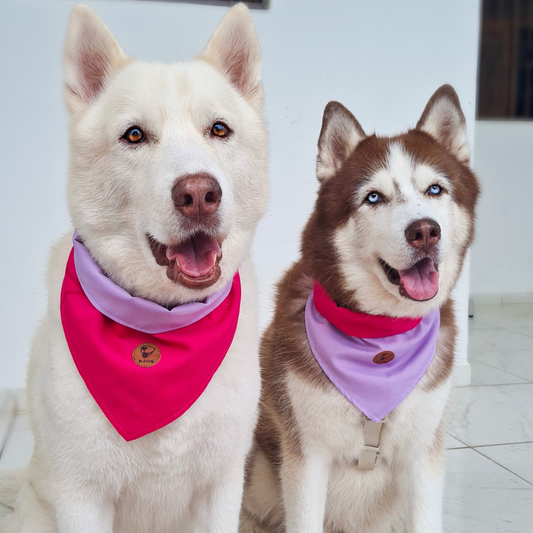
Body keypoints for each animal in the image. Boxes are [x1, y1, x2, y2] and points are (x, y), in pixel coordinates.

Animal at [0, 5, 266, 532]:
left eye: (219, 130)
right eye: (135, 135)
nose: (199, 193)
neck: (163, 327)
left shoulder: (223, 484)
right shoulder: (81, 496)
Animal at [240, 85, 478, 528]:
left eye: (435, 189)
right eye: (373, 197)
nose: (425, 231)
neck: (381, 338)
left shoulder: (423, 456)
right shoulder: (306, 457)